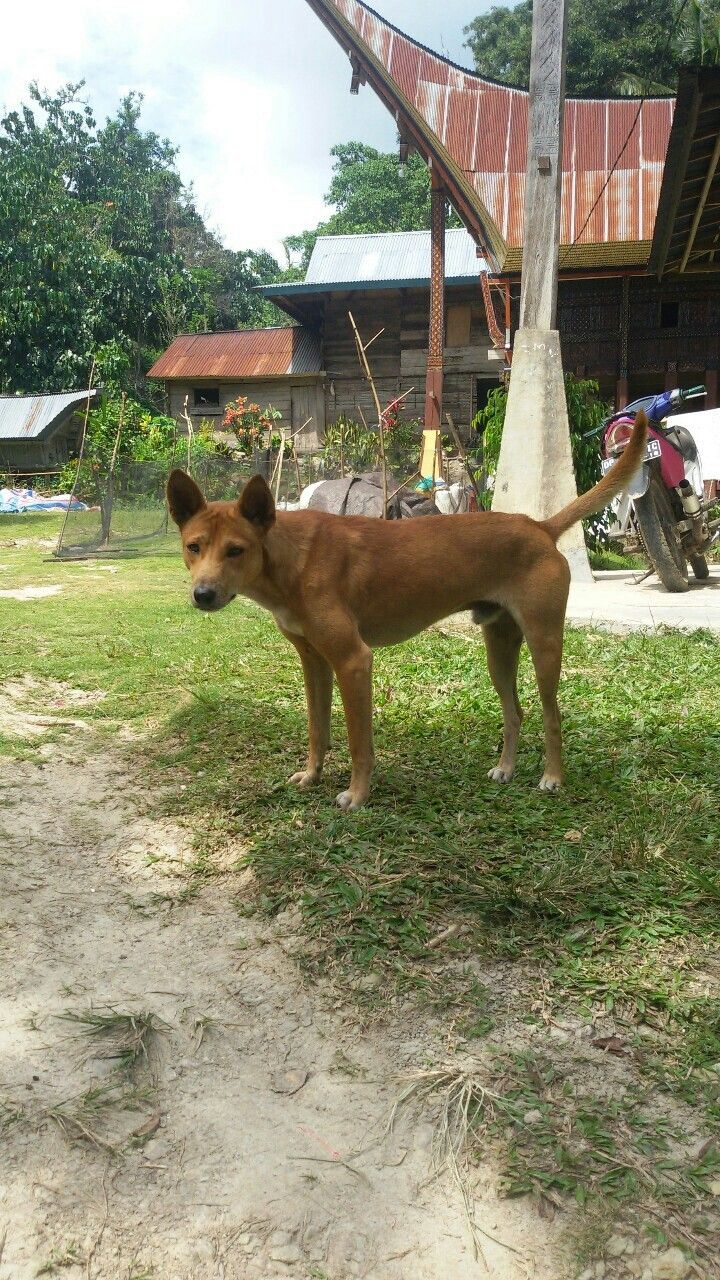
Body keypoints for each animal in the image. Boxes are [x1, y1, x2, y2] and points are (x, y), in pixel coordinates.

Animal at [166, 414, 645, 803]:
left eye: (236, 550)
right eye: (193, 547)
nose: (202, 595)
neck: (290, 559)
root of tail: (539, 526)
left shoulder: (353, 660)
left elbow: (359, 741)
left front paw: (357, 795)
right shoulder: (314, 662)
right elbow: (317, 729)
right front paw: (312, 774)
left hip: (544, 644)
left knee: (551, 714)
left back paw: (553, 777)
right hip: (498, 650)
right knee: (515, 712)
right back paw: (506, 769)